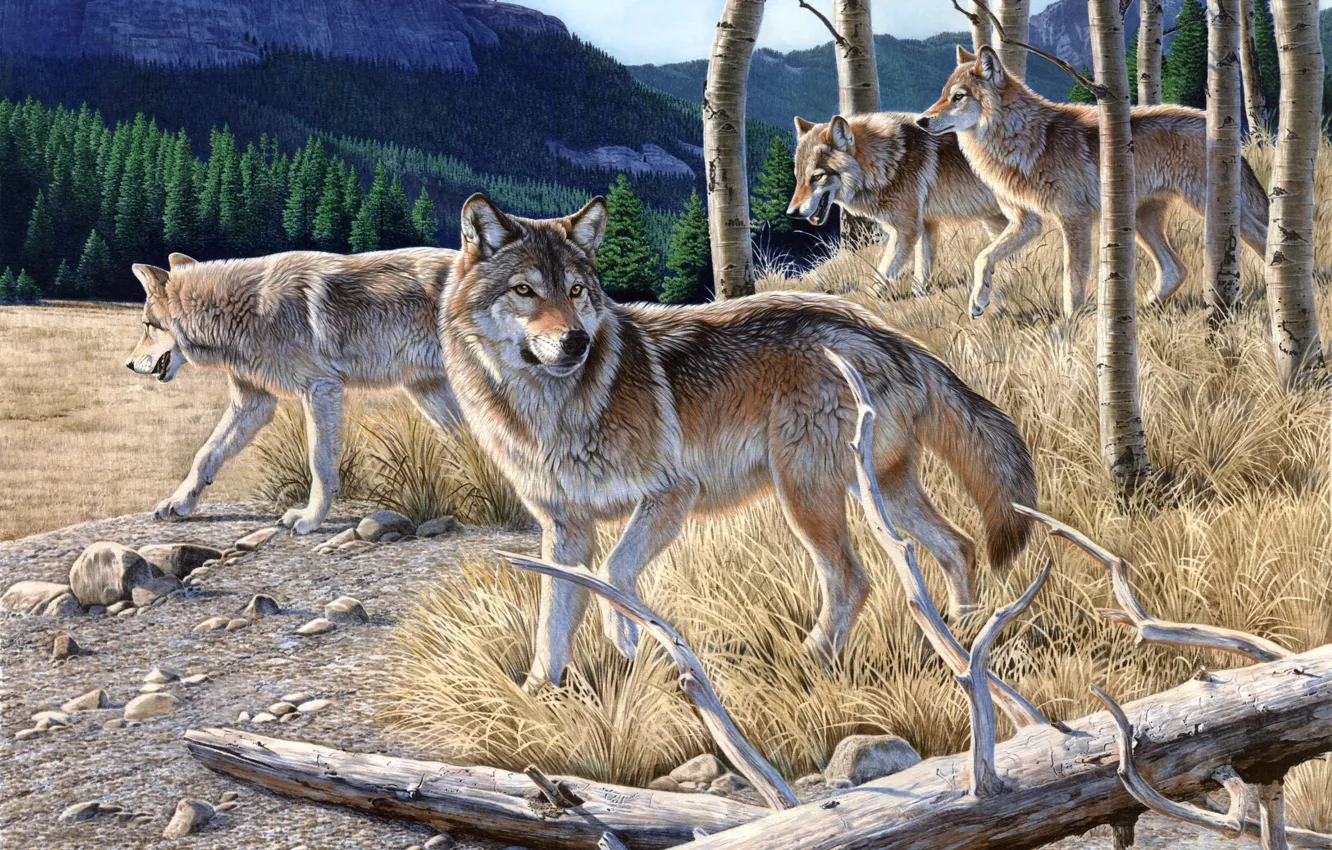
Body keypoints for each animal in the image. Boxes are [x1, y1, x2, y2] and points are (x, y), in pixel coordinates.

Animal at [125, 248, 459, 533]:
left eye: (146, 326)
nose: (128, 364)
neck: (246, 311)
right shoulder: (252, 403)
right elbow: (205, 454)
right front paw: (179, 502)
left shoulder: (321, 390)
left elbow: (320, 463)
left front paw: (310, 520)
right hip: (429, 392)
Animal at [440, 193, 1039, 688]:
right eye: (524, 291)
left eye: (576, 290)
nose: (577, 341)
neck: (553, 410)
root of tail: (889, 333)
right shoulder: (566, 530)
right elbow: (552, 623)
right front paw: (538, 694)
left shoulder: (671, 495)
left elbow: (613, 573)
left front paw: (626, 637)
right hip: (881, 491)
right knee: (958, 545)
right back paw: (962, 639)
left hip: (806, 495)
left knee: (853, 579)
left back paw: (812, 659)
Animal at [786, 113, 1031, 292]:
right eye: (798, 178)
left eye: (817, 177)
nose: (791, 213)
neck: (886, 162)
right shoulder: (926, 226)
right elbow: (921, 271)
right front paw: (919, 297)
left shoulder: (906, 230)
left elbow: (882, 276)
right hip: (992, 220)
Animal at [917, 45, 1269, 318]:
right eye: (942, 95)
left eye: (958, 97)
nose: (921, 120)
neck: (1025, 140)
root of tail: (1216, 124)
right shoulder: (1026, 222)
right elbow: (983, 257)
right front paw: (978, 302)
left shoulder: (1075, 219)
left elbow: (1072, 283)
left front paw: (1069, 331)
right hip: (1141, 221)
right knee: (1176, 269)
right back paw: (1142, 309)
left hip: (1212, 207)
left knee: (1265, 238)